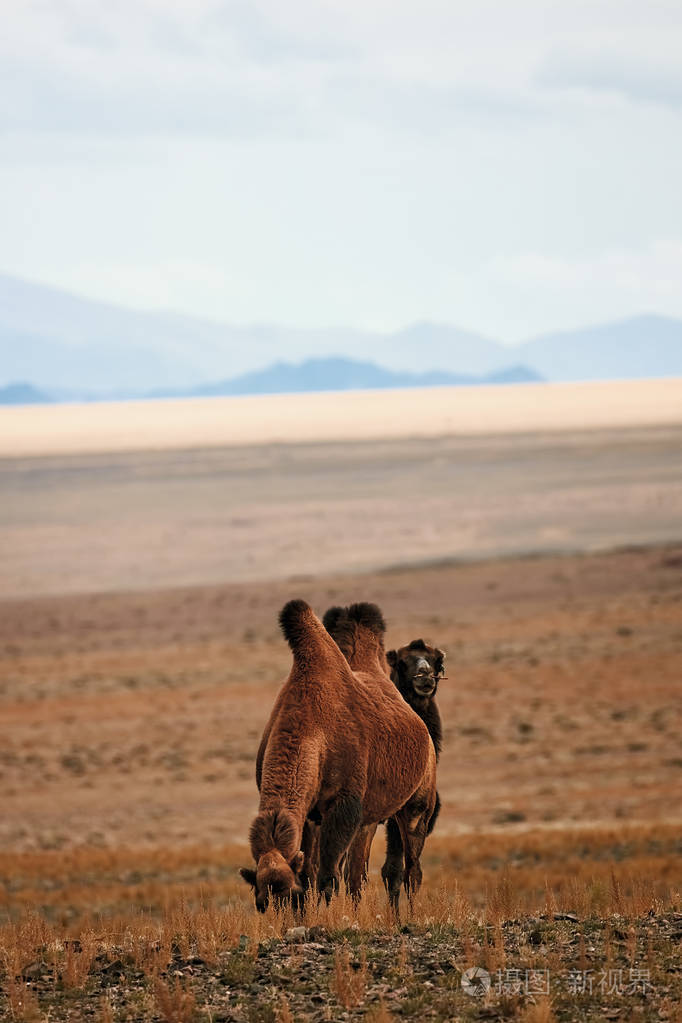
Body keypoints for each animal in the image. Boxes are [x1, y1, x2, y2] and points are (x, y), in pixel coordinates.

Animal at [242, 599, 436, 912]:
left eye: (288, 895)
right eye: (261, 903)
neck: (312, 729)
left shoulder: (343, 805)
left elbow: (327, 877)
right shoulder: (310, 814)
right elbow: (309, 874)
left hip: (418, 802)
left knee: (412, 869)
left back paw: (410, 913)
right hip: (369, 818)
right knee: (357, 873)